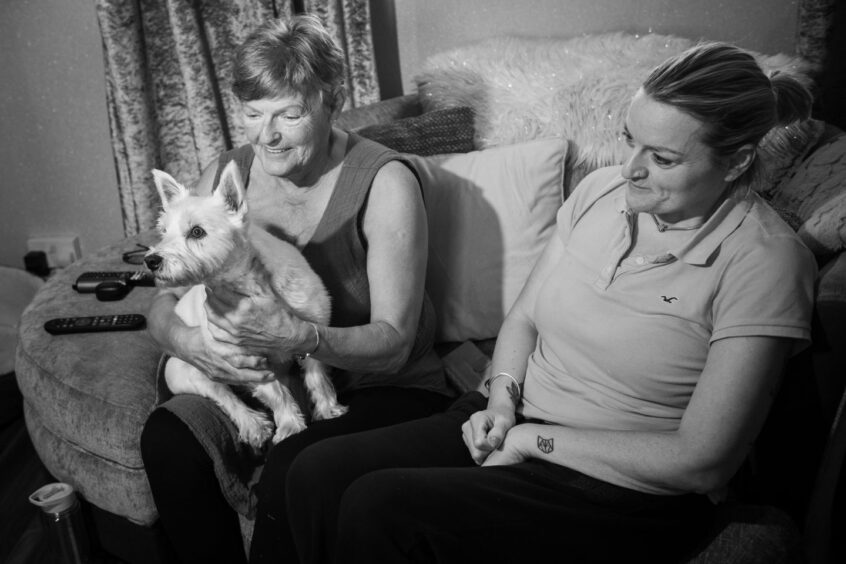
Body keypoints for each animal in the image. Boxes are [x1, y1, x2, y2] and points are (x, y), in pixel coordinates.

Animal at [146, 161, 348, 448]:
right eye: (163, 232)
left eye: (197, 231)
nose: (151, 261)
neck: (249, 284)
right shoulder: (244, 362)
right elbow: (276, 393)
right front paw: (290, 425)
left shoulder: (313, 330)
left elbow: (317, 376)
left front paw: (328, 409)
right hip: (185, 372)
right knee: (224, 397)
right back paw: (254, 426)